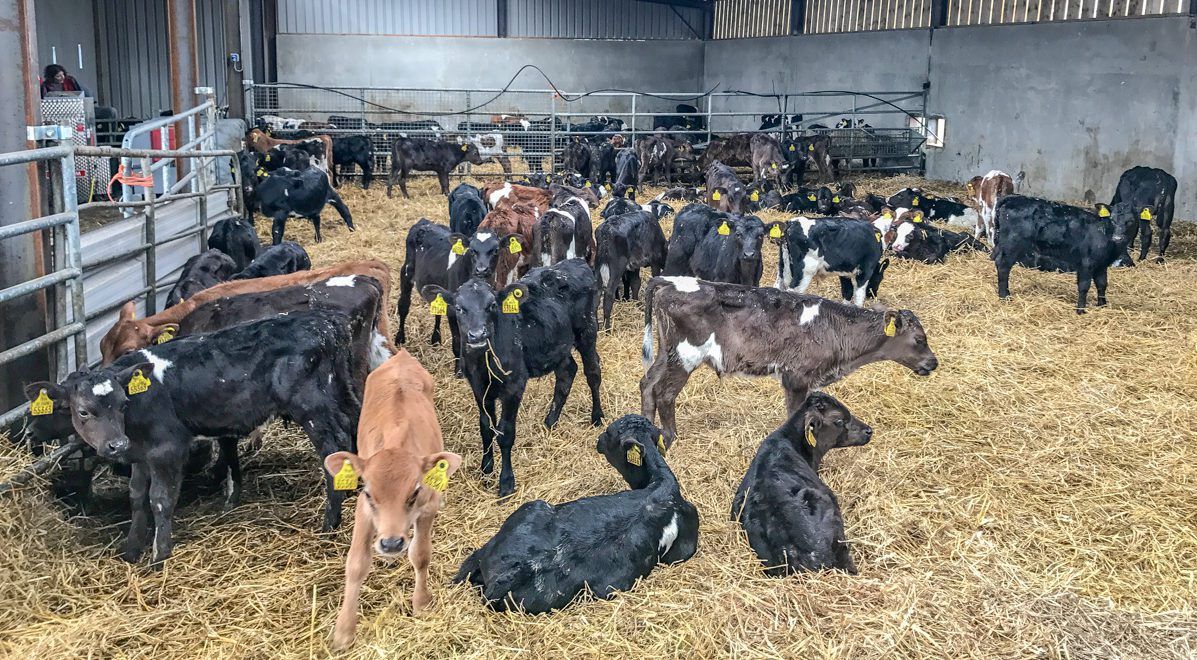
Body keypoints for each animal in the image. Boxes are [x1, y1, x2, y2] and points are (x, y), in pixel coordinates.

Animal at [26, 310, 368, 565]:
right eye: (83, 411)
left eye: (122, 404)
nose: (29, 431)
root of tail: (325, 323)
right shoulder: (140, 454)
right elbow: (136, 497)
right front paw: (131, 550)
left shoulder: (168, 449)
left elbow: (160, 500)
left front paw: (158, 556)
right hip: (343, 392)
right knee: (355, 426)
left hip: (312, 407)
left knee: (333, 449)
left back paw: (329, 524)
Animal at [325, 350, 460, 650]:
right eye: (367, 492)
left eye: (415, 491)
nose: (390, 543)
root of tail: (401, 356)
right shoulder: (364, 511)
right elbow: (356, 563)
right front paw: (343, 632)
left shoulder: (426, 509)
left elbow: (420, 555)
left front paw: (421, 603)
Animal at [422, 259, 603, 496]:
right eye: (459, 308)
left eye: (491, 305)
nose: (477, 335)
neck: (484, 363)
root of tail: (576, 262)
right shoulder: (478, 387)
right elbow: (486, 427)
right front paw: (486, 469)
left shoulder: (514, 386)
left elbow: (506, 433)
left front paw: (506, 482)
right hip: (557, 344)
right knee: (567, 372)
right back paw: (550, 421)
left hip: (587, 330)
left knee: (593, 373)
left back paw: (597, 416)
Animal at [640, 277, 937, 442]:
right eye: (919, 339)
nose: (933, 363)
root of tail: (669, 282)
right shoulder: (796, 377)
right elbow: (796, 415)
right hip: (685, 356)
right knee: (664, 393)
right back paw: (671, 437)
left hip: (667, 352)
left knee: (647, 384)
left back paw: (647, 428)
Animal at [992, 197, 1143, 312]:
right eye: (1112, 220)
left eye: (1130, 221)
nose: (1117, 238)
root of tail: (1012, 198)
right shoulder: (1086, 263)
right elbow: (1084, 286)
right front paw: (1081, 310)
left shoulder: (1101, 265)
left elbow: (1102, 284)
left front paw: (1102, 305)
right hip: (1012, 245)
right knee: (1003, 265)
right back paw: (1004, 296)